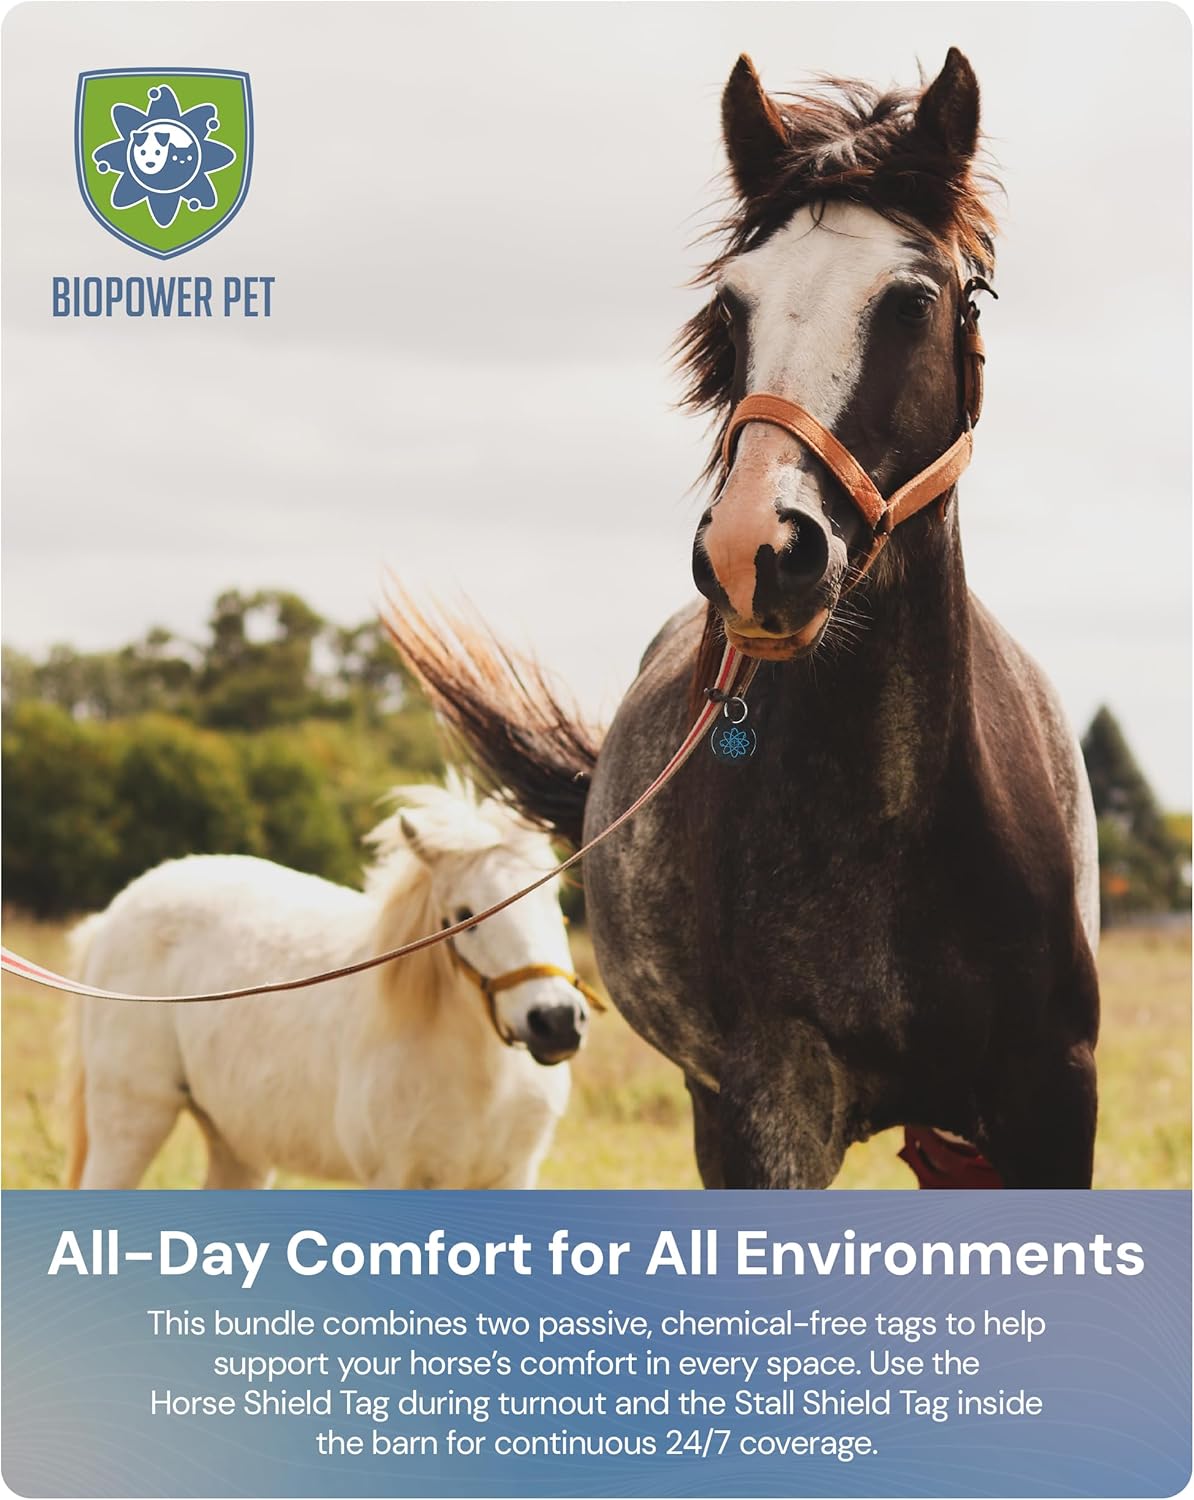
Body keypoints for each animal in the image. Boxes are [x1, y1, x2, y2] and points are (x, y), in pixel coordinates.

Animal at [62, 781, 593, 1189]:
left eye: (552, 896)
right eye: (465, 916)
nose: (555, 1021)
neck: (483, 1080)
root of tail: (112, 915)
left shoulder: (511, 1178)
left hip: (237, 1142)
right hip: (132, 1122)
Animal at [384, 48, 1100, 1189]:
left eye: (914, 301)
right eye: (733, 305)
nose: (756, 551)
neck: (897, 826)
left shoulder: (1051, 1099)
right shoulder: (773, 1103)